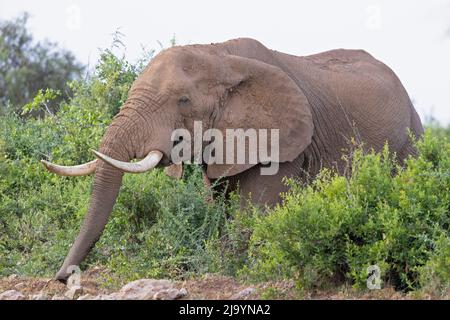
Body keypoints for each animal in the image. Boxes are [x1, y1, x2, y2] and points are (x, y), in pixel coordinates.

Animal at [40, 38, 424, 282]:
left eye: (182, 100)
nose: (62, 277)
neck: (219, 55)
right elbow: (219, 204)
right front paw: (224, 265)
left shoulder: (281, 142)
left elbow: (252, 211)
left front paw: (241, 270)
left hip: (410, 144)